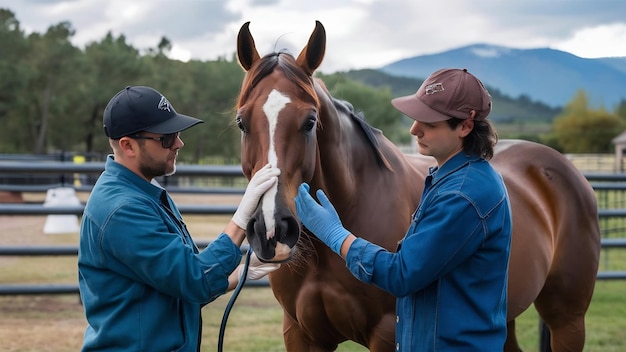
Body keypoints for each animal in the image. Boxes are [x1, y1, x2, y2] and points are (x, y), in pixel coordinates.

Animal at [234, 20, 600, 350]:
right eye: (241, 122)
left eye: (310, 121)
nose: (271, 229)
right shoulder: (301, 334)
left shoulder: (387, 334)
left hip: (567, 318)